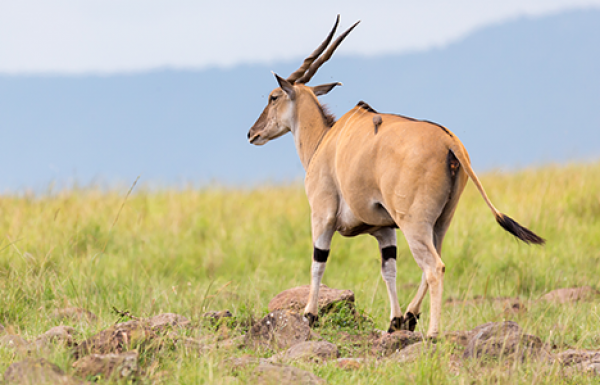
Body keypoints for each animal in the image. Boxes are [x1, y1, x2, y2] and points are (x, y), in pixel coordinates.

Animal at [246, 15, 548, 336]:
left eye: (273, 96)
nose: (253, 133)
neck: (326, 140)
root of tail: (450, 142)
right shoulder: (385, 229)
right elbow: (389, 270)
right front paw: (394, 320)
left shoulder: (322, 215)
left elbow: (318, 262)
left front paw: (310, 314)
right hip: (439, 223)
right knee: (434, 262)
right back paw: (411, 316)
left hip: (414, 223)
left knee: (434, 267)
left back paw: (432, 332)